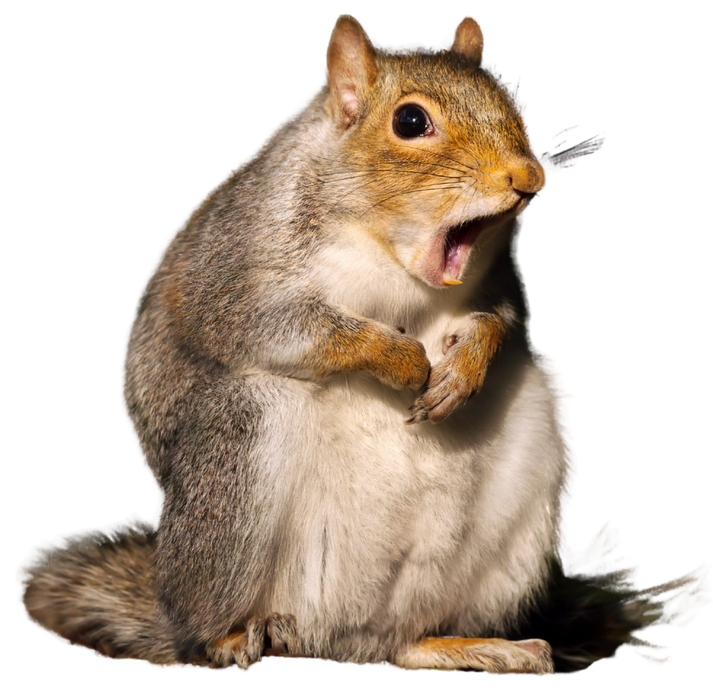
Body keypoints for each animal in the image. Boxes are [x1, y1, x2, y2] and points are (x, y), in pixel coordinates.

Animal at [16, 15, 710, 675]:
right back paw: (233, 636)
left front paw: (462, 368)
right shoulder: (236, 269)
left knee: (396, 647)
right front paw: (402, 362)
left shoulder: (504, 279)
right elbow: (282, 326)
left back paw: (476, 648)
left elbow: (501, 321)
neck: (391, 254)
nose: (528, 176)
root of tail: (331, 634)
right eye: (410, 121)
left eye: (518, 111)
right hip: (237, 452)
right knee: (213, 616)